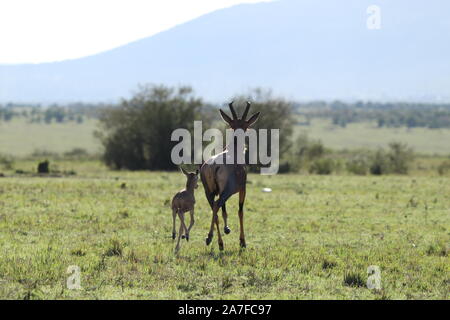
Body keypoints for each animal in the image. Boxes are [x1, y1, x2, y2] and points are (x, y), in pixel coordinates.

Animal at [200, 101, 260, 251]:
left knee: (214, 209)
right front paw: (243, 242)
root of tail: (213, 166)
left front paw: (227, 229)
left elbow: (224, 211)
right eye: (246, 126)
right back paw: (210, 238)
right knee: (217, 205)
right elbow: (240, 212)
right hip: (227, 191)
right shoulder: (243, 189)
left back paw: (219, 243)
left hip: (208, 192)